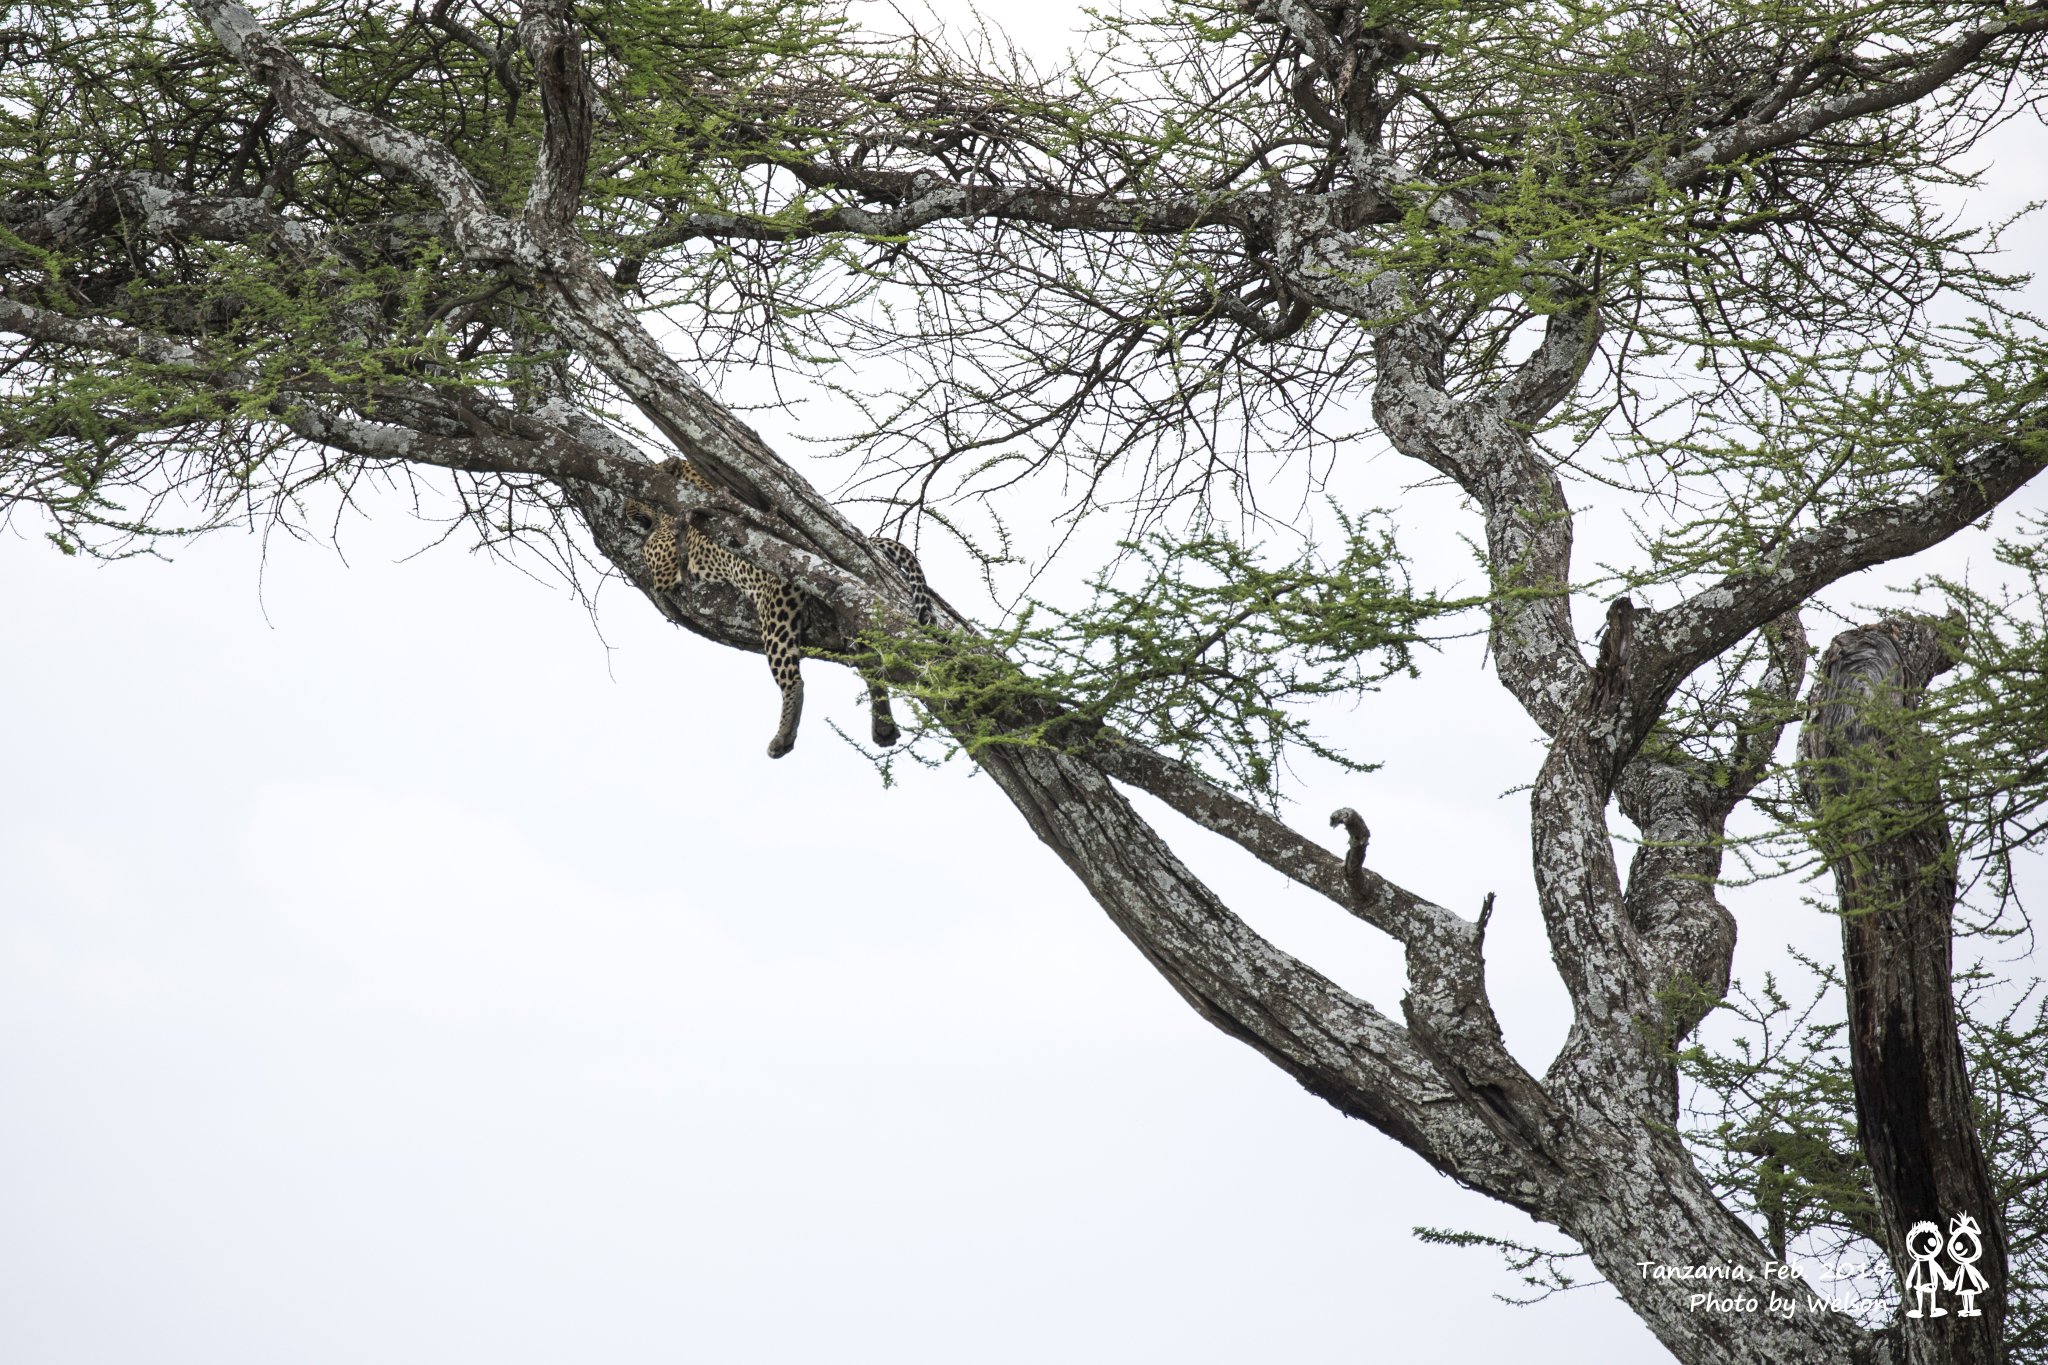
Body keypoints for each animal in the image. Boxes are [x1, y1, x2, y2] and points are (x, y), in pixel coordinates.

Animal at [622, 456, 937, 757]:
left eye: (637, 490)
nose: (624, 508)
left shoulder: (662, 566)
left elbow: (648, 549)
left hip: (776, 615)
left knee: (794, 680)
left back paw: (783, 737)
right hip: (850, 613)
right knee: (870, 663)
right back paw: (883, 727)